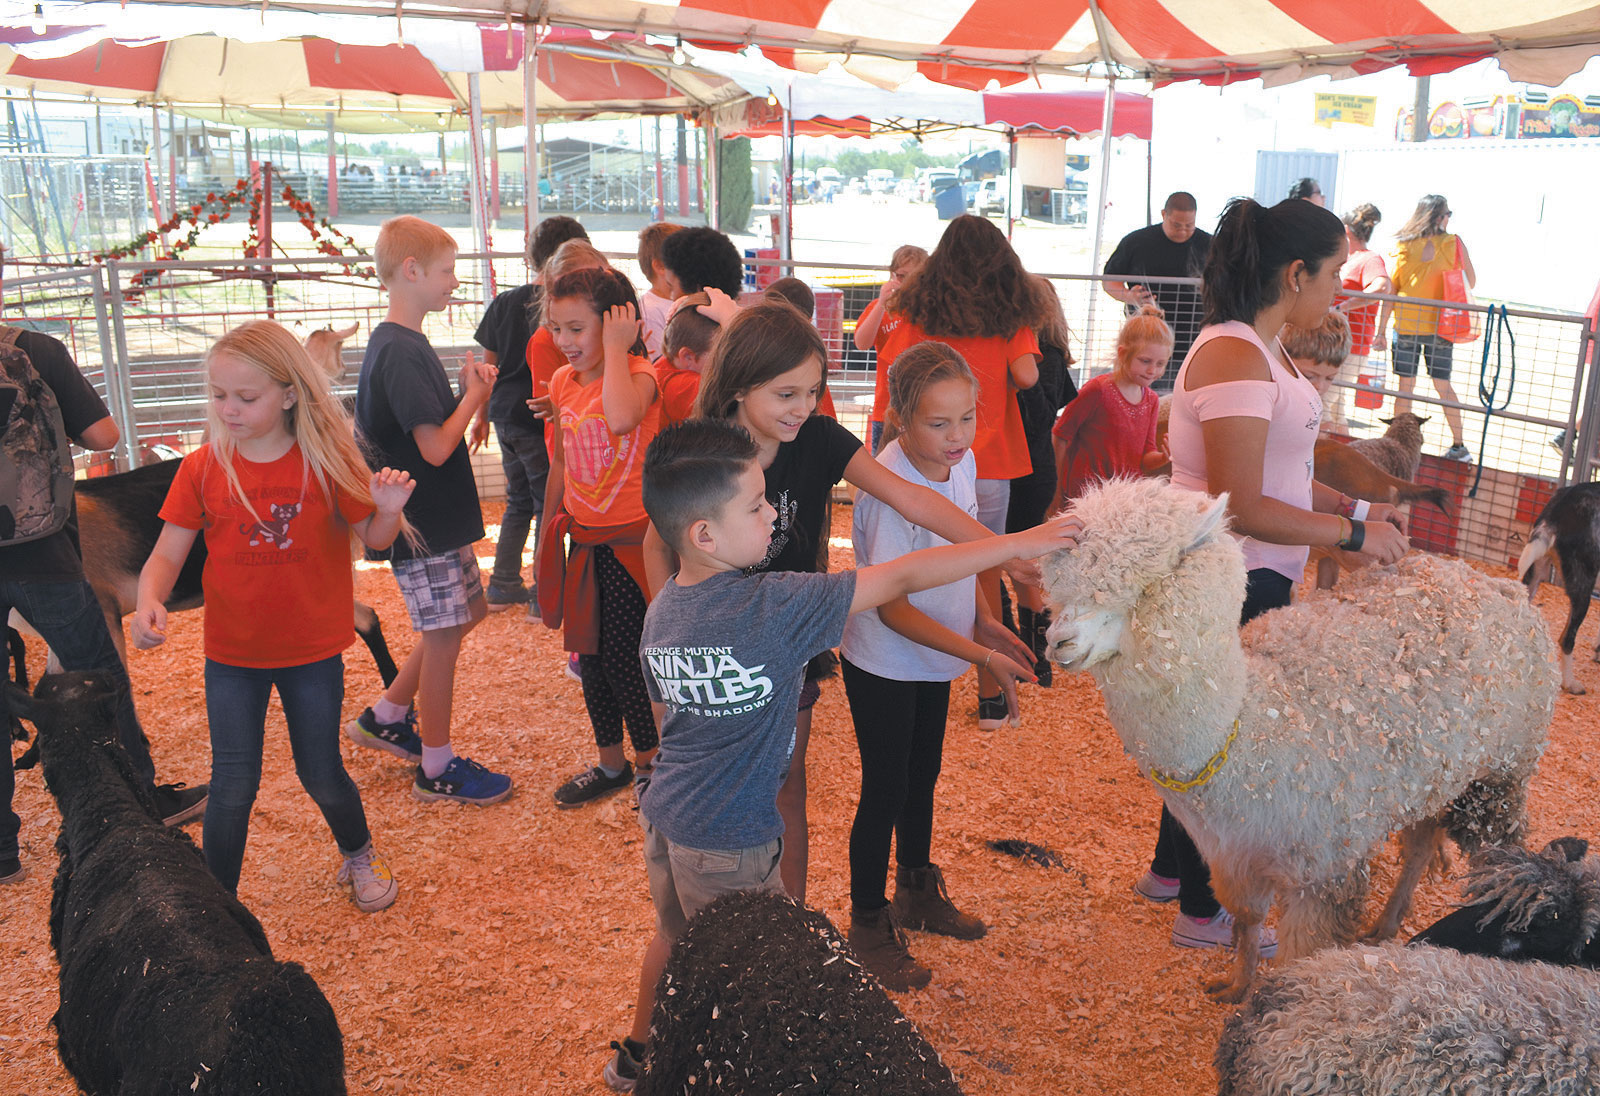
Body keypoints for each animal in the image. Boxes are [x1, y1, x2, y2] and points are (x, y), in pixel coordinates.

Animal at [1043, 480, 1555, 998]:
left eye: (1147, 582)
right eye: (1058, 588)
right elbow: (1247, 924)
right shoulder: (1232, 858)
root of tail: (1495, 582)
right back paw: (1387, 924)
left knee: (1497, 845)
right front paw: (1236, 986)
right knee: (1420, 843)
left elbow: (1300, 957)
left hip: (1502, 767)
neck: (1250, 730)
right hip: (1436, 771)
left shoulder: (1322, 870)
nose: (1058, 642)